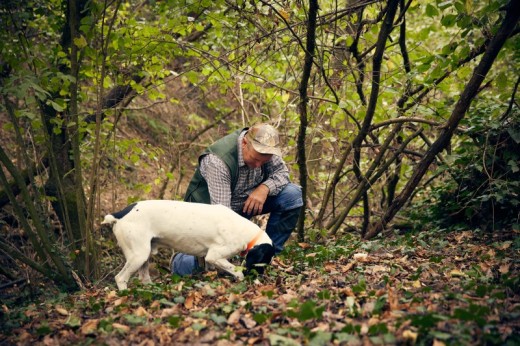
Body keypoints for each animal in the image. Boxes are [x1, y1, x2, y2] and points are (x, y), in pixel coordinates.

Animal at [99, 200, 274, 290]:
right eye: (262, 262)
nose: (261, 279)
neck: (246, 232)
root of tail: (119, 214)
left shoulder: (208, 259)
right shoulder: (214, 256)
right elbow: (236, 270)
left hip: (144, 254)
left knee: (143, 276)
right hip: (138, 255)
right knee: (120, 278)